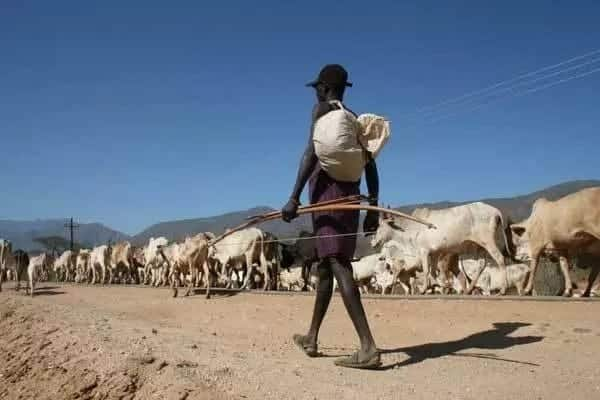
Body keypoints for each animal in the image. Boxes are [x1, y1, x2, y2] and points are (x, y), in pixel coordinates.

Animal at [372, 203, 508, 294]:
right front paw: (442, 285)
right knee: (481, 264)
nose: (373, 242)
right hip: (479, 246)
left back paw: (502, 289)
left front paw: (425, 288)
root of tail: (495, 211)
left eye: (379, 227)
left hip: (488, 241)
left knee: (500, 259)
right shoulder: (435, 253)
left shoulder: (424, 251)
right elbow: (433, 271)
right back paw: (469, 289)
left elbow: (427, 270)